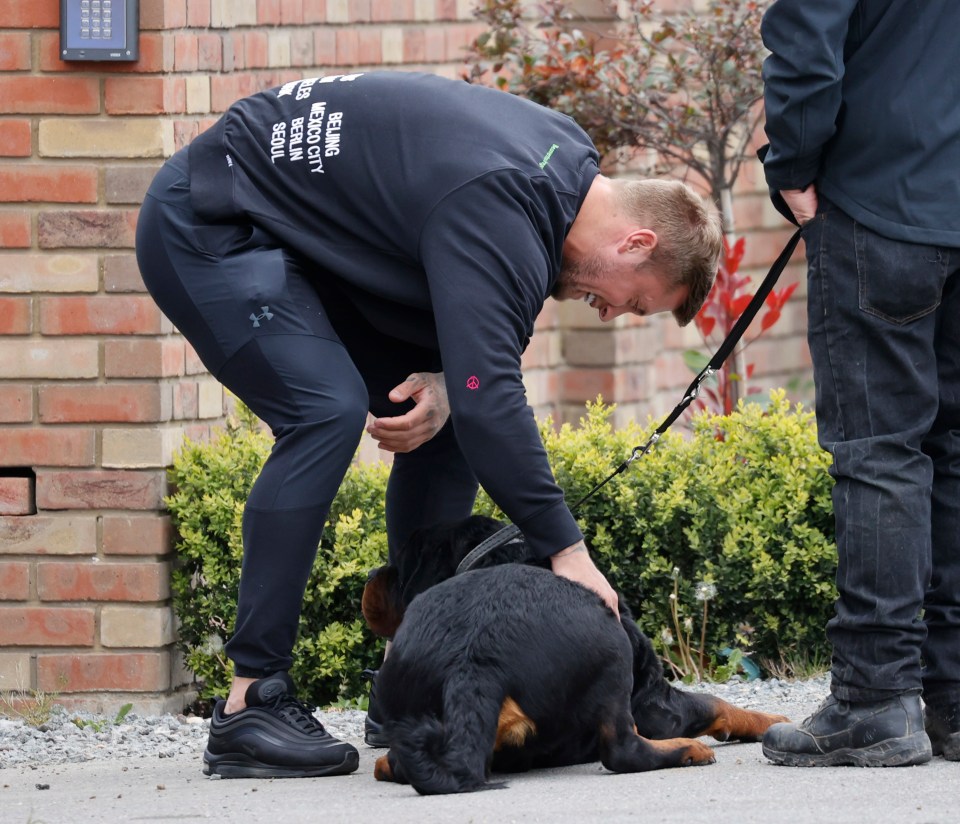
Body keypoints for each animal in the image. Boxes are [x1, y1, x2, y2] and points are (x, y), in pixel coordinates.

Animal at [360, 516, 788, 792]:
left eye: (398, 567)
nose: (369, 576)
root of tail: (474, 663)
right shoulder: (655, 699)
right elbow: (716, 703)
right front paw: (769, 719)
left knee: (394, 761)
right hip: (613, 644)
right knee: (623, 750)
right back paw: (686, 750)